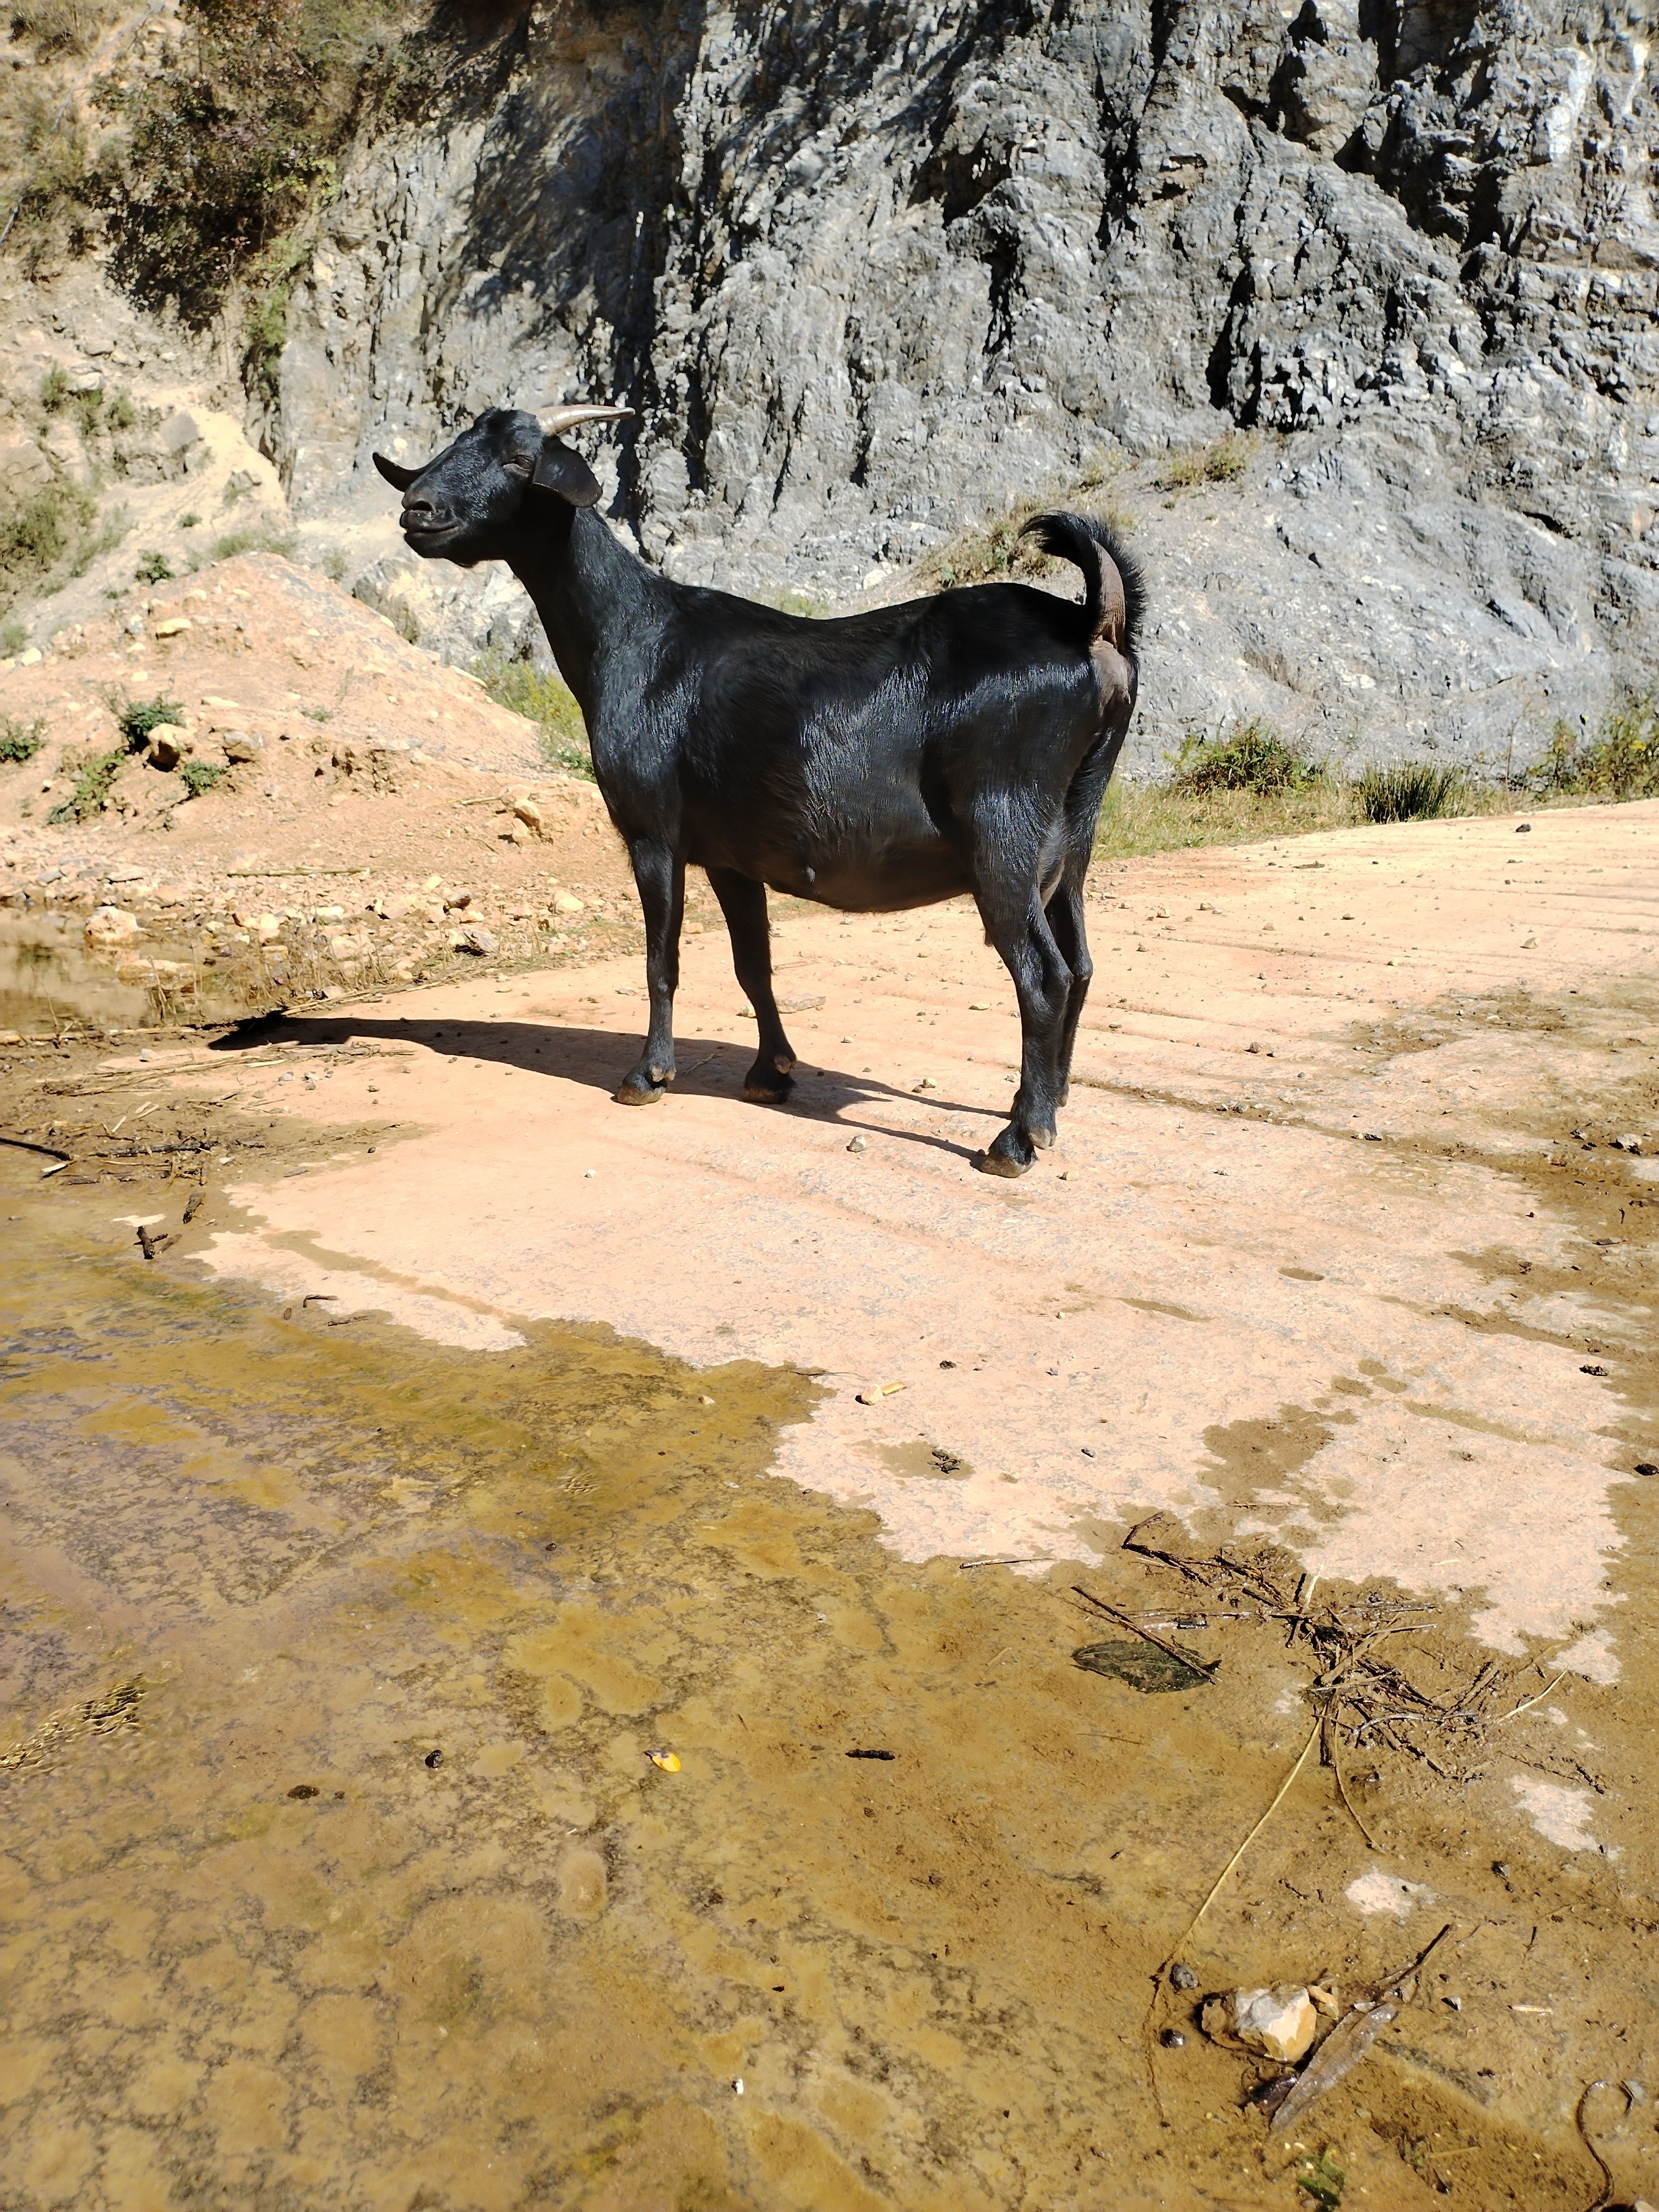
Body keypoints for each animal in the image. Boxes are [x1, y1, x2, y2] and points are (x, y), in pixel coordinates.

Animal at [380, 411, 1141, 1177]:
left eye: (517, 459)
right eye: (456, 443)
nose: (419, 509)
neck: (634, 637)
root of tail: (1090, 626)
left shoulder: (654, 831)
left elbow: (662, 959)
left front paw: (648, 1075)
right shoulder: (731, 854)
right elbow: (754, 965)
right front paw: (770, 1073)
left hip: (1001, 828)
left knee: (1043, 974)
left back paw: (1016, 1138)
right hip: (1073, 831)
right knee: (1080, 963)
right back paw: (1051, 1103)